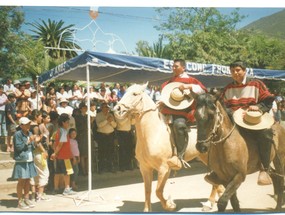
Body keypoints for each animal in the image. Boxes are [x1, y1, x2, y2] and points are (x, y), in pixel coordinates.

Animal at [112, 82, 223, 212]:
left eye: (135, 93)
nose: (117, 109)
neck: (152, 133)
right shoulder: (145, 168)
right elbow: (147, 190)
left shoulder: (164, 168)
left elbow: (158, 191)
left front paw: (170, 205)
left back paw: (210, 202)